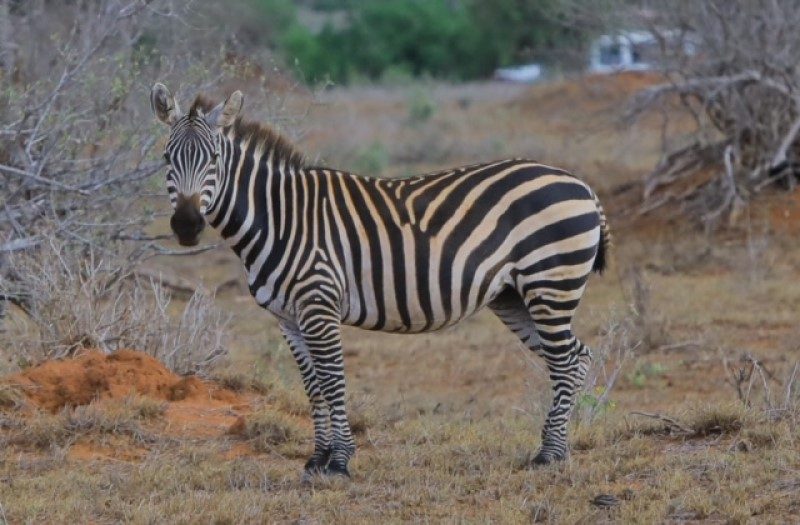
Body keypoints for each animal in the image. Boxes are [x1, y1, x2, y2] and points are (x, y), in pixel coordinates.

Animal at [150, 84, 612, 476]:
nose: (187, 226)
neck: (279, 219)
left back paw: (549, 456)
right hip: (515, 296)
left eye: (213, 160)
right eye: (167, 160)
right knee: (576, 358)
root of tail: (581, 184)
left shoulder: (319, 304)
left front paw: (340, 462)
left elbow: (333, 381)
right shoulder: (288, 318)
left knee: (566, 361)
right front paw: (316, 460)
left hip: (550, 283)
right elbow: (313, 386)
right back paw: (554, 451)